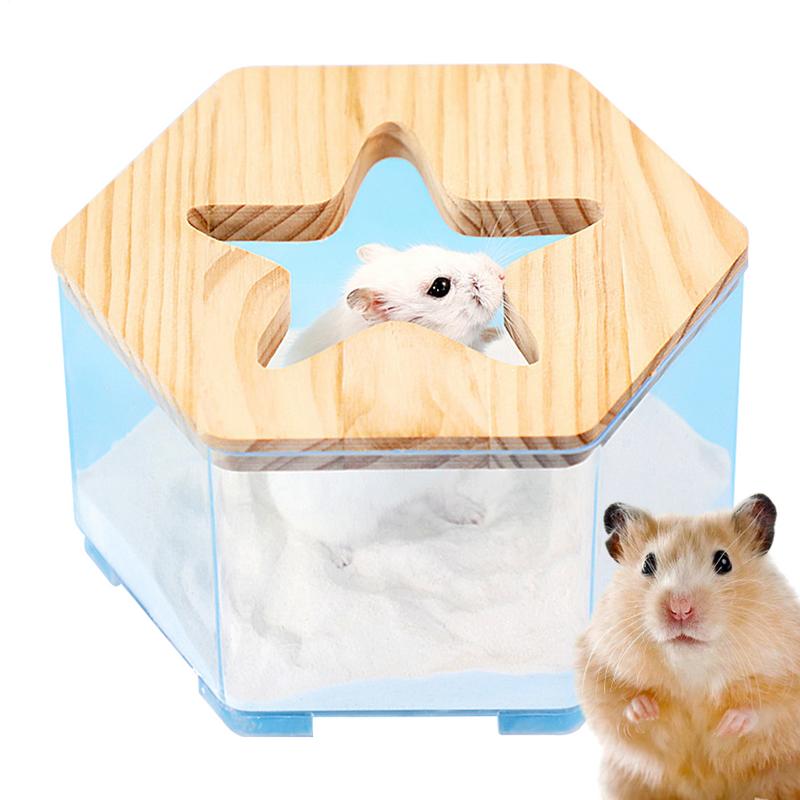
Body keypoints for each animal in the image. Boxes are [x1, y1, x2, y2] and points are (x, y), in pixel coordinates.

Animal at [576, 495, 800, 800]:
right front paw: (645, 708)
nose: (679, 608)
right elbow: (614, 703)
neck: (692, 670)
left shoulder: (789, 675)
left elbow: (770, 709)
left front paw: (728, 725)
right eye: (647, 564)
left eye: (724, 561)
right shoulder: (596, 664)